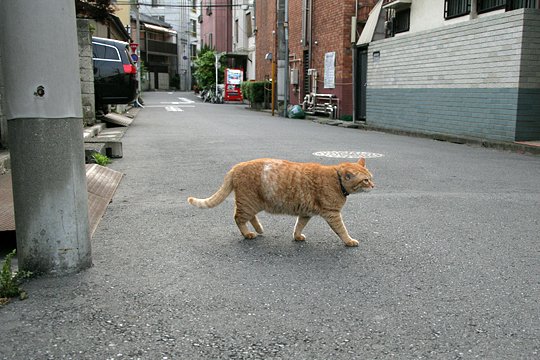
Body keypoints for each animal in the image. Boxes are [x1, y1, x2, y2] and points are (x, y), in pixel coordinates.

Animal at [188, 158, 374, 248]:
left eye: (371, 177)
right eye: (365, 180)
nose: (373, 185)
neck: (337, 180)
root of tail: (236, 167)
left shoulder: (305, 213)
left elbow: (299, 226)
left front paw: (297, 236)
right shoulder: (332, 214)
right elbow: (342, 230)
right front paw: (349, 241)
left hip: (254, 204)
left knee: (249, 217)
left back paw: (259, 229)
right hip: (249, 203)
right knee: (238, 218)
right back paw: (248, 234)